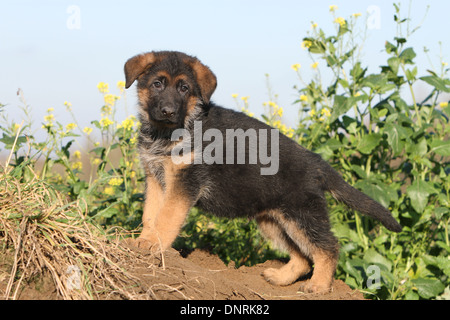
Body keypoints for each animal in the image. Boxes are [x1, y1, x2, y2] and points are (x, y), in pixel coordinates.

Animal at [123, 50, 400, 292]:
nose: (168, 111)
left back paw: (319, 286)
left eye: (184, 88)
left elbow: (166, 218)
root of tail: (316, 162)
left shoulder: (183, 184)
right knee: (302, 257)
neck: (170, 132)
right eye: (157, 84)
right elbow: (151, 215)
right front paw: (142, 241)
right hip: (274, 221)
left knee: (328, 247)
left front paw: (153, 244)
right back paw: (280, 277)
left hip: (302, 215)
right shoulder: (156, 179)